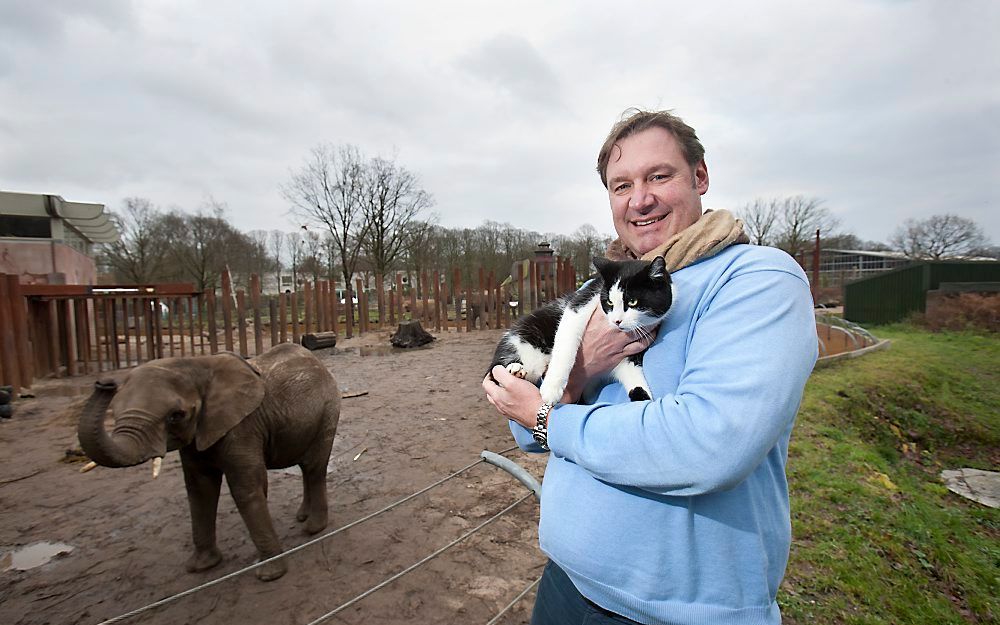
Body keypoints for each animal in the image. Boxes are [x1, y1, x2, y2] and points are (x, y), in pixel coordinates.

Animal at [78, 342, 344, 580]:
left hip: (328, 409)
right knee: (306, 467)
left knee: (313, 467)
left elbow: (246, 489)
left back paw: (313, 528)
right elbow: (200, 489)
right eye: (116, 411)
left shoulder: (243, 426)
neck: (196, 366)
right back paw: (303, 517)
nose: (104, 383)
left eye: (176, 416)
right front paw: (201, 567)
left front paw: (269, 574)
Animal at [486, 256, 672, 402]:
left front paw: (643, 398)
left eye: (633, 302)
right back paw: (515, 369)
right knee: (496, 372)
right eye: (609, 302)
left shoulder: (628, 357)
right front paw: (551, 389)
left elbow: (634, 377)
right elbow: (566, 346)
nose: (616, 321)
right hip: (520, 343)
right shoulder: (581, 302)